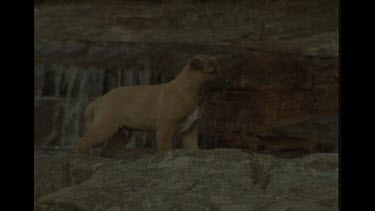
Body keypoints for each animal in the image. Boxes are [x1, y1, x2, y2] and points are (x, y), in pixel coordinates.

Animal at [75, 55, 225, 157]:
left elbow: (193, 149)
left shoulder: (190, 131)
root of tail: (99, 100)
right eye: (212, 71)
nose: (225, 80)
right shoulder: (165, 127)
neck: (191, 91)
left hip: (121, 134)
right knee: (83, 142)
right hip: (106, 125)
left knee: (105, 151)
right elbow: (165, 148)